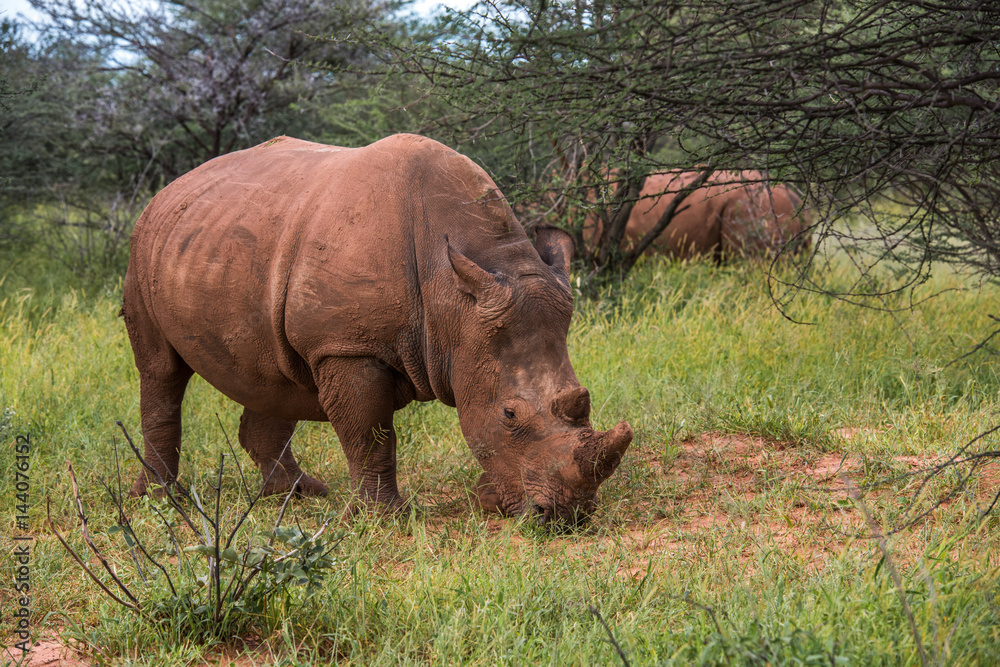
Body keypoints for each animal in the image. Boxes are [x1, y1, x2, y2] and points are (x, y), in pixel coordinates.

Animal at [122, 133, 633, 525]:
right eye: (509, 414)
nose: (567, 516)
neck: (455, 303)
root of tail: (172, 187)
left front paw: (486, 500)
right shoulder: (347, 345)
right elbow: (372, 433)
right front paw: (385, 519)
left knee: (273, 375)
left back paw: (299, 494)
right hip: (143, 245)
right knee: (161, 371)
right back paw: (160, 499)